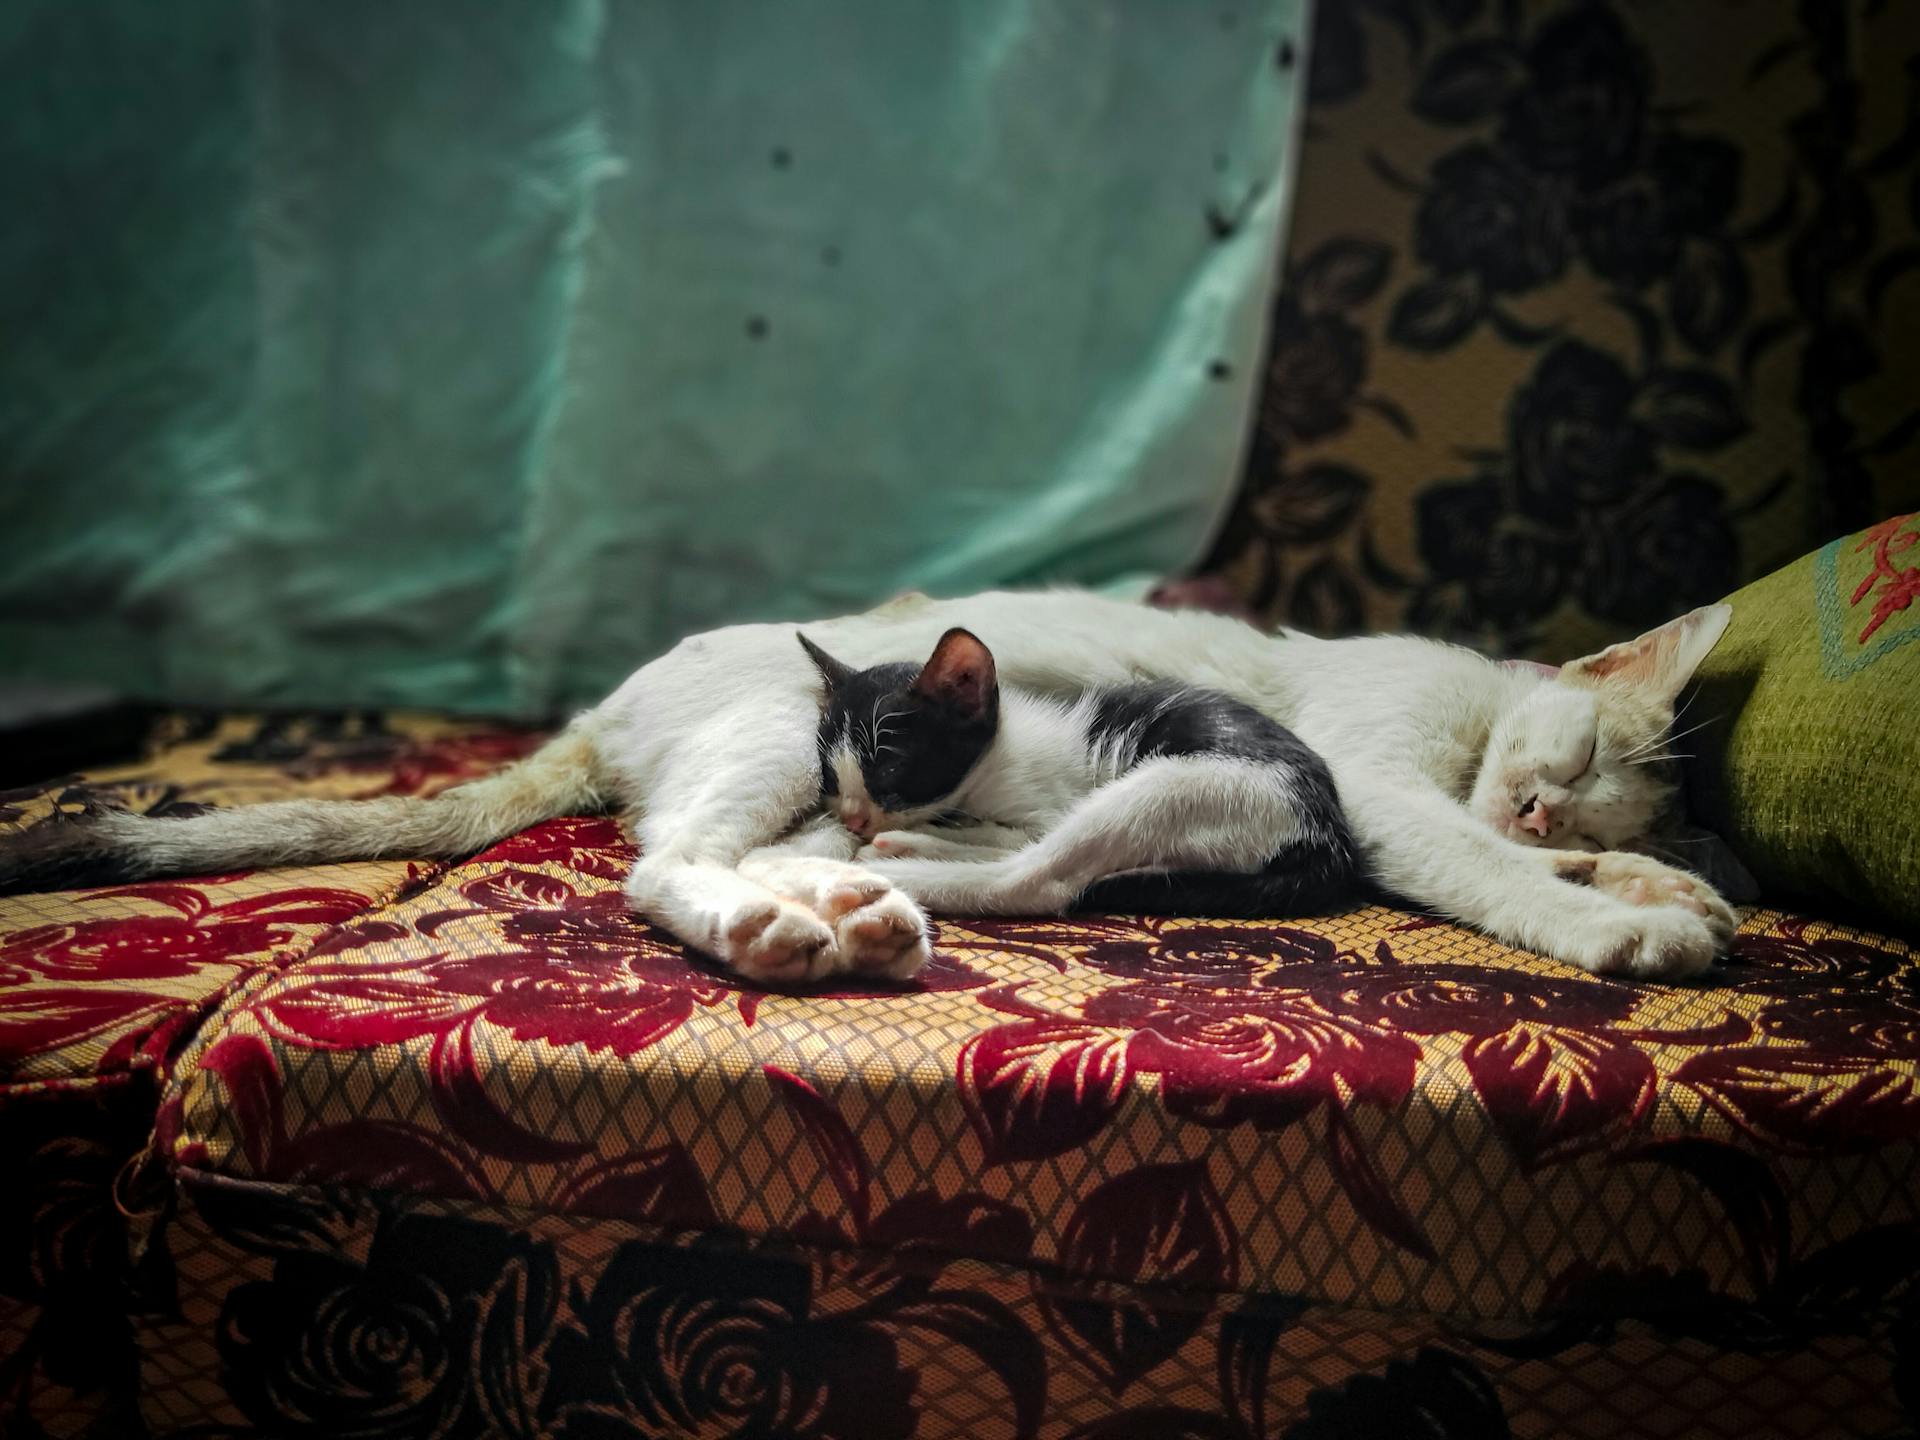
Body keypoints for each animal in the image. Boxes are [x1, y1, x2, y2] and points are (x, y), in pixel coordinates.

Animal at [787, 629, 1359, 925]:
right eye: (830, 778)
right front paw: (927, 833)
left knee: (1036, 880)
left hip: (1174, 785)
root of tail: (1329, 836)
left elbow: (1024, 840)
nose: (853, 819)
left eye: (889, 767)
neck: (990, 763)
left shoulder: (1048, 801)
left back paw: (886, 874)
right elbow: (998, 835)